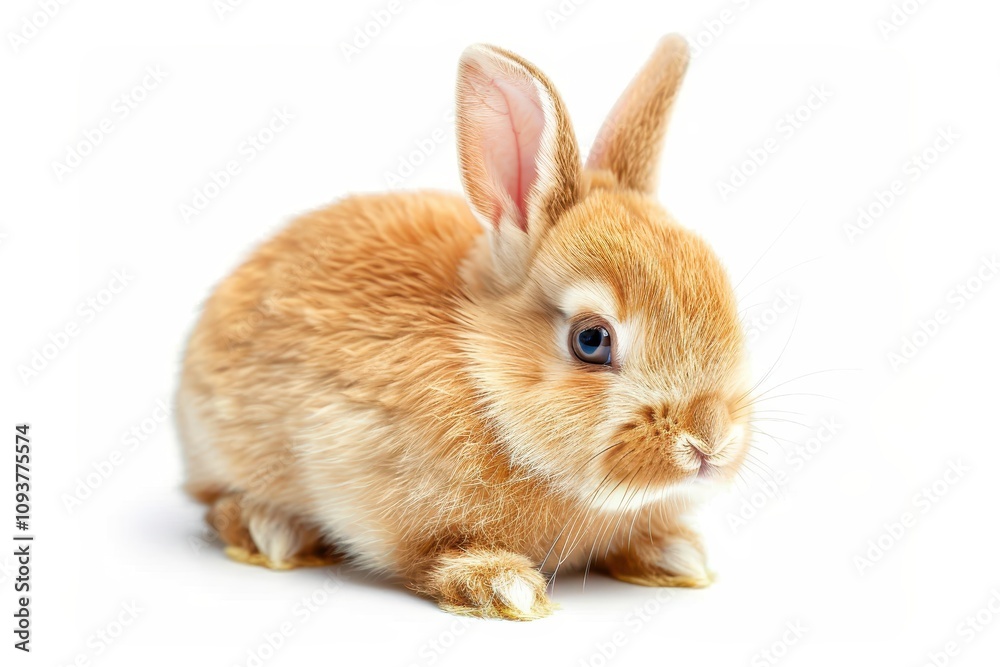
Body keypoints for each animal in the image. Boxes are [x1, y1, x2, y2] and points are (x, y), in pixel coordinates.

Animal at [176, 34, 753, 621]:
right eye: (591, 341)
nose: (711, 440)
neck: (484, 379)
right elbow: (429, 555)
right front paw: (502, 585)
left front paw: (674, 555)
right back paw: (270, 531)